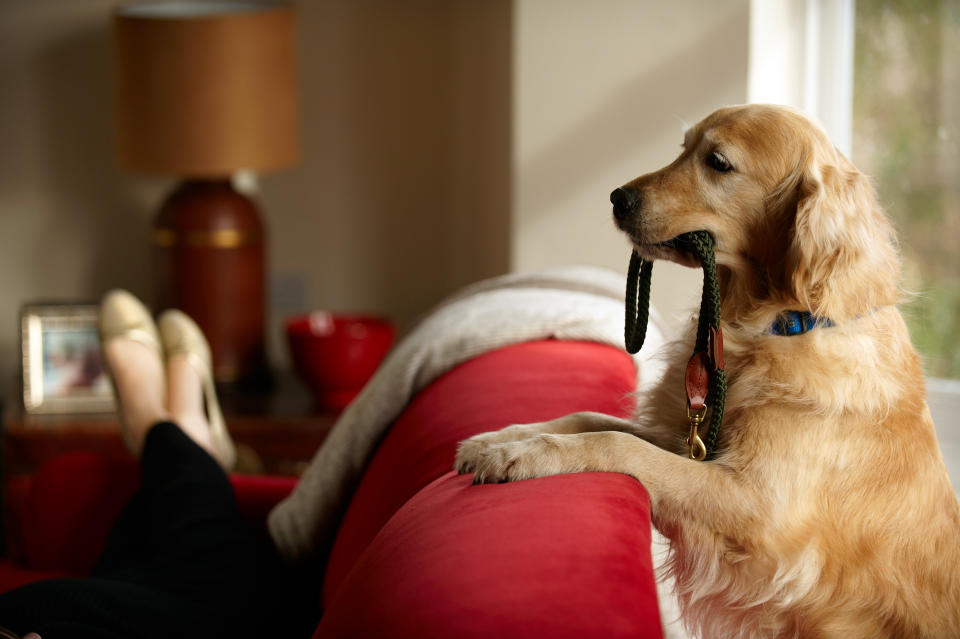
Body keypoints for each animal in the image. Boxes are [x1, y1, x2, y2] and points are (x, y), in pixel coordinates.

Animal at [456, 105, 960, 639]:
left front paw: (521, 456)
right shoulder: (693, 442)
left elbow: (617, 443)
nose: (617, 198)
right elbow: (589, 419)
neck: (772, 326)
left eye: (718, 162)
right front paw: (499, 440)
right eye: (683, 148)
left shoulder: (758, 508)